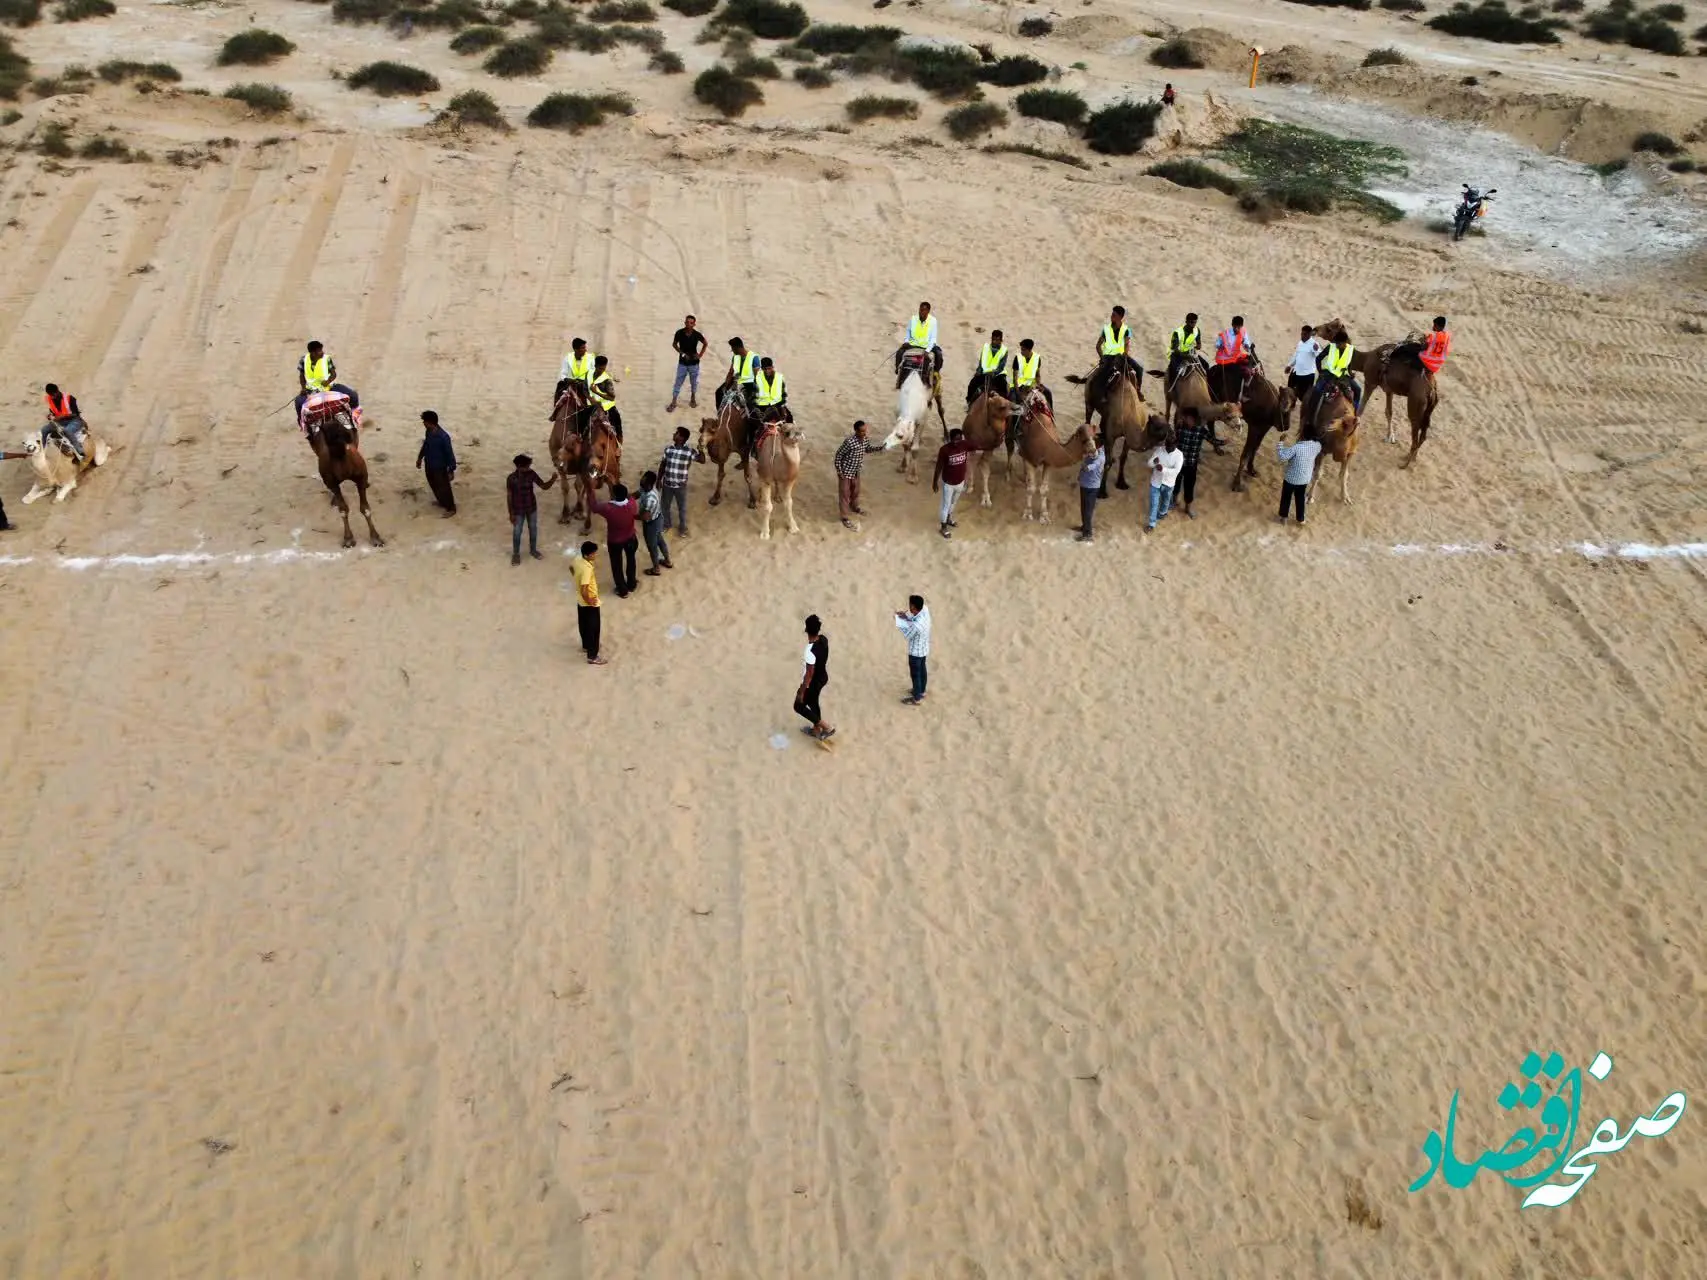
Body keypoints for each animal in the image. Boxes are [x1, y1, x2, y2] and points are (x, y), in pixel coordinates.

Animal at [308, 413, 389, 549]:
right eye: (326, 433)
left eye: (342, 429)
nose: (345, 438)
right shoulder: (332, 482)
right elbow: (343, 510)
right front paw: (348, 539)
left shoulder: (361, 477)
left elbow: (365, 509)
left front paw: (376, 538)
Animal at [880, 348, 949, 484]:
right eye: (893, 431)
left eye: (899, 436)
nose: (885, 444)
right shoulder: (899, 415)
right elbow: (907, 445)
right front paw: (902, 466)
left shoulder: (921, 421)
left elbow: (915, 449)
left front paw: (913, 476)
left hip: (938, 388)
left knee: (941, 410)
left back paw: (946, 435)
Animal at [1010, 395, 1092, 525]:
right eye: (1084, 439)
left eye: (1095, 436)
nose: (1093, 450)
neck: (1046, 443)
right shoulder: (1029, 458)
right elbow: (1031, 488)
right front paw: (1027, 514)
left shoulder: (1048, 462)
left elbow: (1044, 490)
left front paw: (1044, 516)